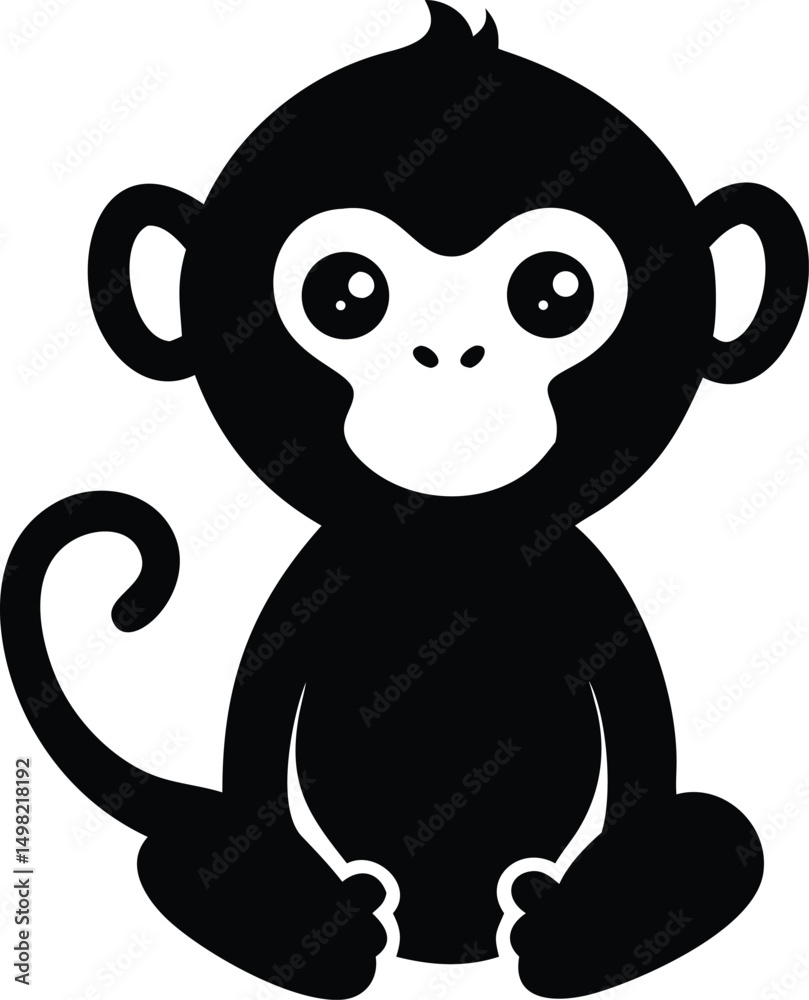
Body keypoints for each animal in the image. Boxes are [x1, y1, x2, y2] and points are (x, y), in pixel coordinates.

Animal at [2, 3, 807, 996]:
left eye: (555, 292)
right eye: (344, 293)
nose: (447, 352)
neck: (448, 546)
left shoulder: (576, 580)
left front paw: (618, 894)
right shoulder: (326, 577)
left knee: (713, 843)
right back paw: (306, 916)